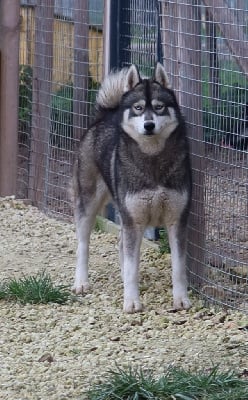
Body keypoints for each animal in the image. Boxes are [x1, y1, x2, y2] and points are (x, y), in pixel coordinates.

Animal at [71, 61, 192, 312]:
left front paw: (181, 299)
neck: (153, 160)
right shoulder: (134, 221)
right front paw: (132, 301)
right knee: (83, 245)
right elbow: (132, 266)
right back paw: (81, 282)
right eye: (138, 108)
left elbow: (178, 267)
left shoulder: (177, 220)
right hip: (87, 204)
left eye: (159, 107)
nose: (149, 124)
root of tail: (105, 115)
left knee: (120, 246)